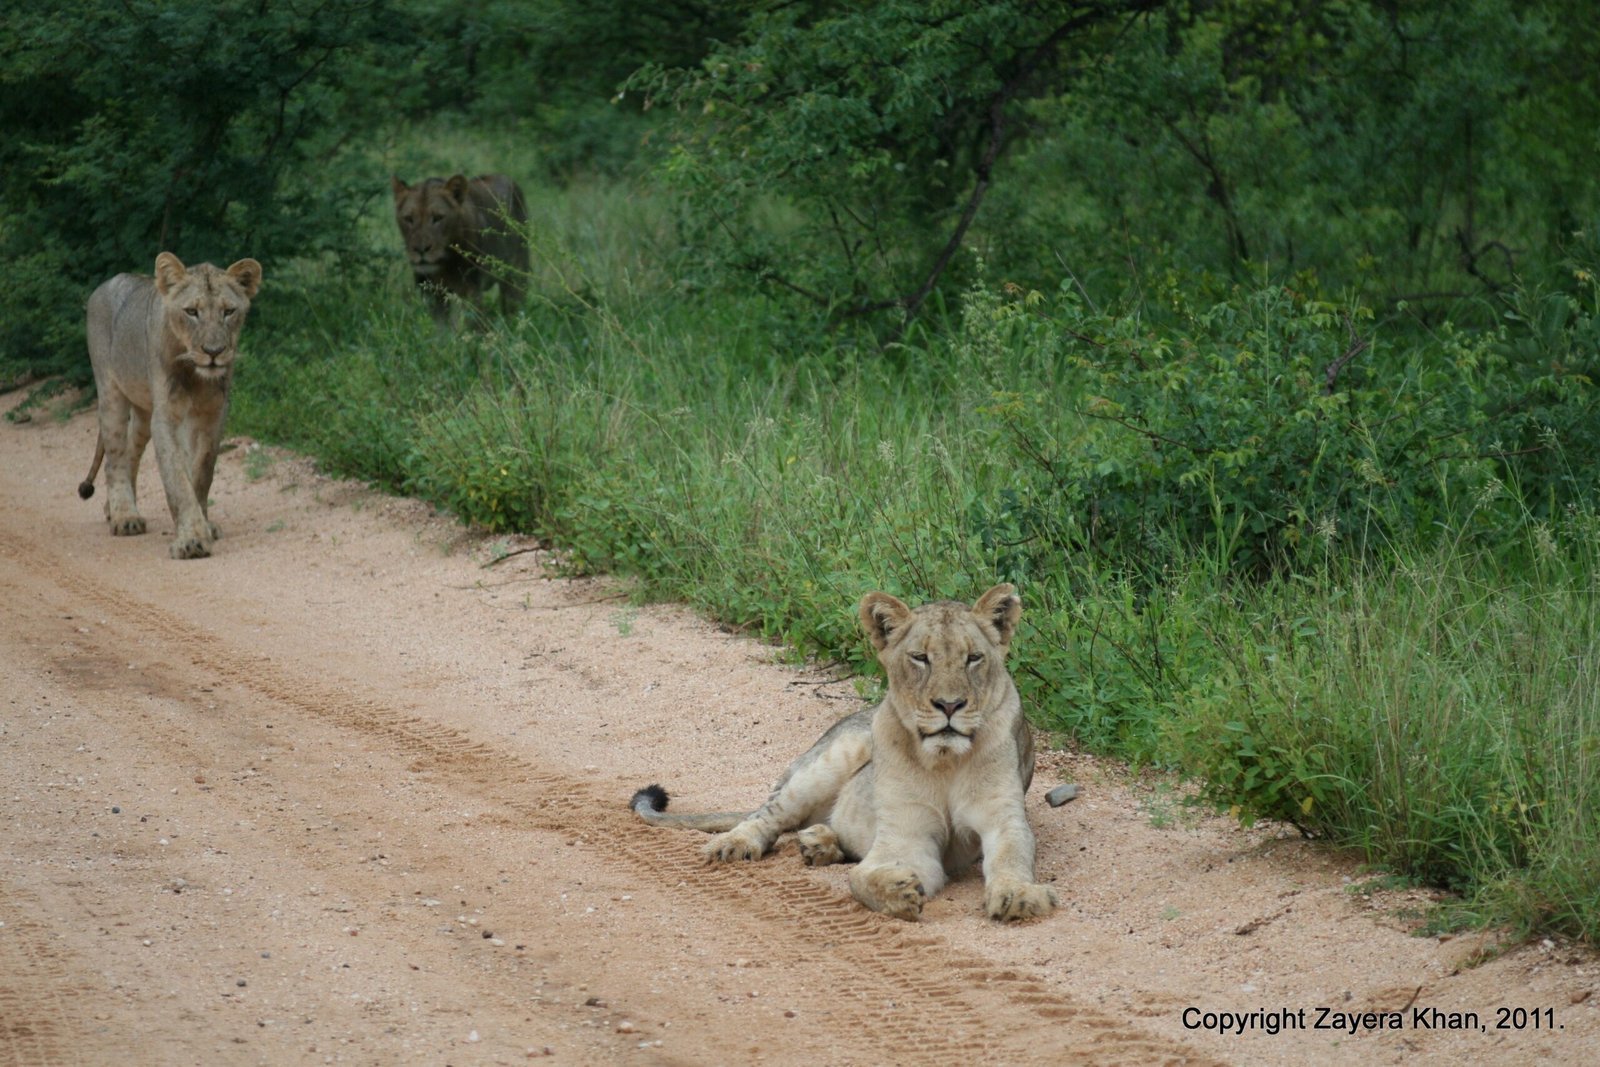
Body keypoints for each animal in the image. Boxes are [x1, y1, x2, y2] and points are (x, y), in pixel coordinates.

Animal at [78, 252, 263, 560]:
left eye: (228, 311)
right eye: (191, 311)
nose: (213, 352)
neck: (195, 375)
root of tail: (104, 285)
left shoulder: (214, 415)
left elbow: (201, 472)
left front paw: (204, 525)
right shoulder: (166, 417)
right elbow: (176, 477)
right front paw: (191, 540)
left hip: (143, 413)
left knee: (131, 451)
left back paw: (112, 509)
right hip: (110, 392)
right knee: (115, 458)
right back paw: (124, 516)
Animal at [391, 173, 529, 323]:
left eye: (438, 218)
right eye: (408, 218)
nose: (421, 249)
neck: (444, 265)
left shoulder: (470, 290)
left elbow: (472, 322)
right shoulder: (432, 292)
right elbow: (442, 326)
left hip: (516, 273)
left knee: (514, 305)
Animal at [631, 584, 1058, 923]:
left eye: (973, 658)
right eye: (920, 658)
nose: (949, 705)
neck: (945, 760)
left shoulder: (1003, 817)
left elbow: (1011, 857)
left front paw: (1018, 896)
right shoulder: (906, 833)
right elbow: (860, 879)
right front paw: (896, 892)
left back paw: (819, 843)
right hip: (831, 758)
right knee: (765, 814)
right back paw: (735, 844)